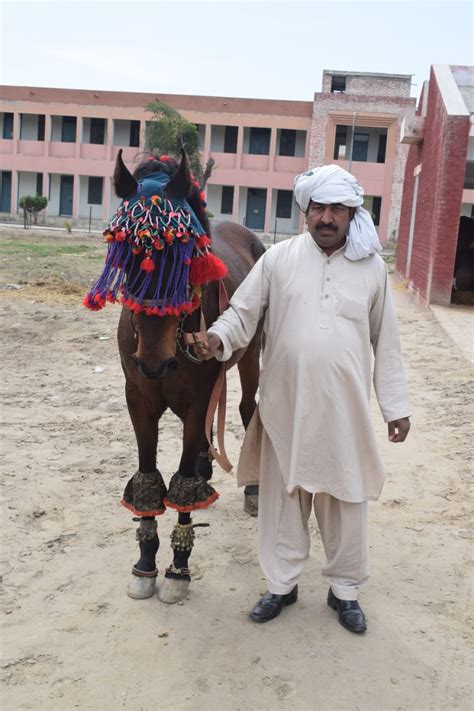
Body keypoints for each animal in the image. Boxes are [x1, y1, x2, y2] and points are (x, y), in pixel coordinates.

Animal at [85, 147, 262, 604]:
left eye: (185, 259)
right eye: (125, 256)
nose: (155, 363)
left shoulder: (195, 401)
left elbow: (181, 477)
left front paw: (178, 568)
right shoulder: (139, 399)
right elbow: (149, 472)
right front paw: (145, 561)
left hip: (252, 356)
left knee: (246, 408)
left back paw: (253, 488)